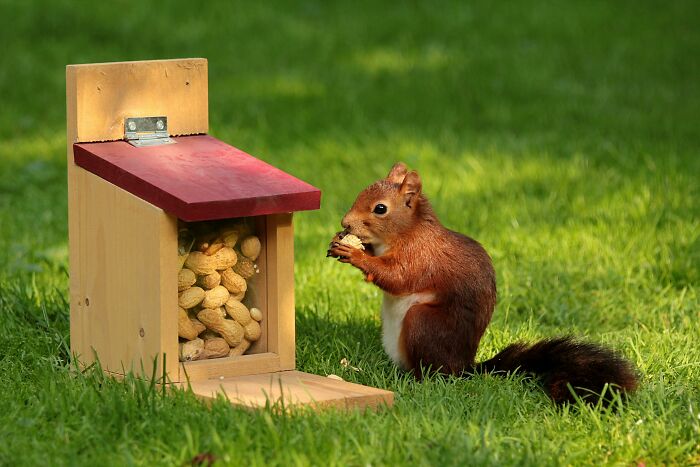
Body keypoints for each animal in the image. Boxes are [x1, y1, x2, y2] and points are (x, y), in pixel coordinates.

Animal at [328, 162, 638, 405]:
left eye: (380, 209)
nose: (345, 222)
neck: (407, 232)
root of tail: (465, 367)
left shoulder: (421, 257)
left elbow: (396, 277)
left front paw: (355, 254)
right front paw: (343, 242)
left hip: (423, 323)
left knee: (434, 373)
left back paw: (416, 382)